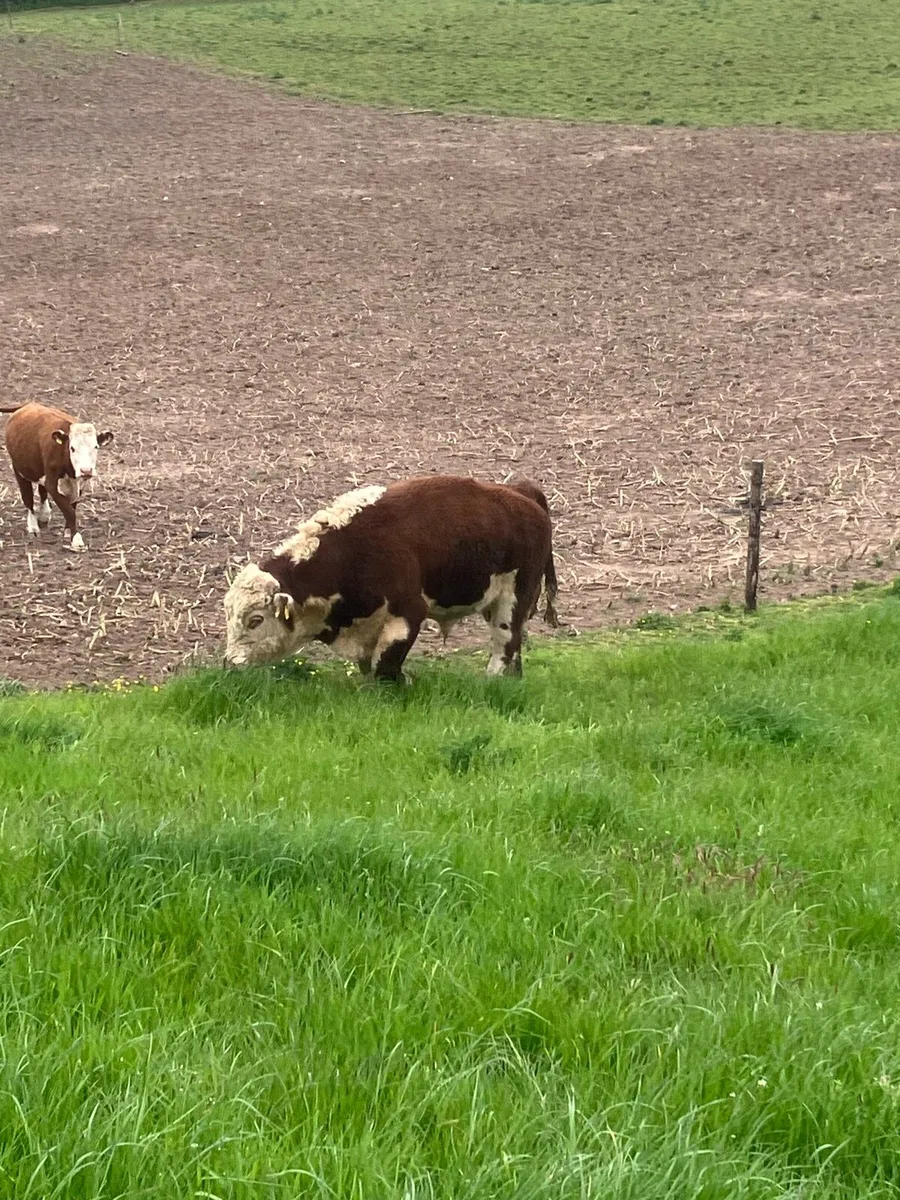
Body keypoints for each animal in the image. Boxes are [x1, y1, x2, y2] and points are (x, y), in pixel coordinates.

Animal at [1, 401, 114, 552]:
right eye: (72, 448)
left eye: (95, 447)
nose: (86, 471)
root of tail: (28, 404)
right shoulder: (52, 483)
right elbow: (69, 511)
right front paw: (76, 540)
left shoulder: (79, 485)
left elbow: (72, 506)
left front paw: (68, 531)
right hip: (19, 470)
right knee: (28, 499)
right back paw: (33, 527)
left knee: (42, 491)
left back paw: (44, 516)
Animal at [224, 475, 560, 682]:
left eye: (255, 619)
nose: (231, 663)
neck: (349, 552)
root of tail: (523, 495)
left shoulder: (407, 612)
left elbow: (385, 665)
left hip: (513, 598)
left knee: (506, 641)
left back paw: (491, 681)